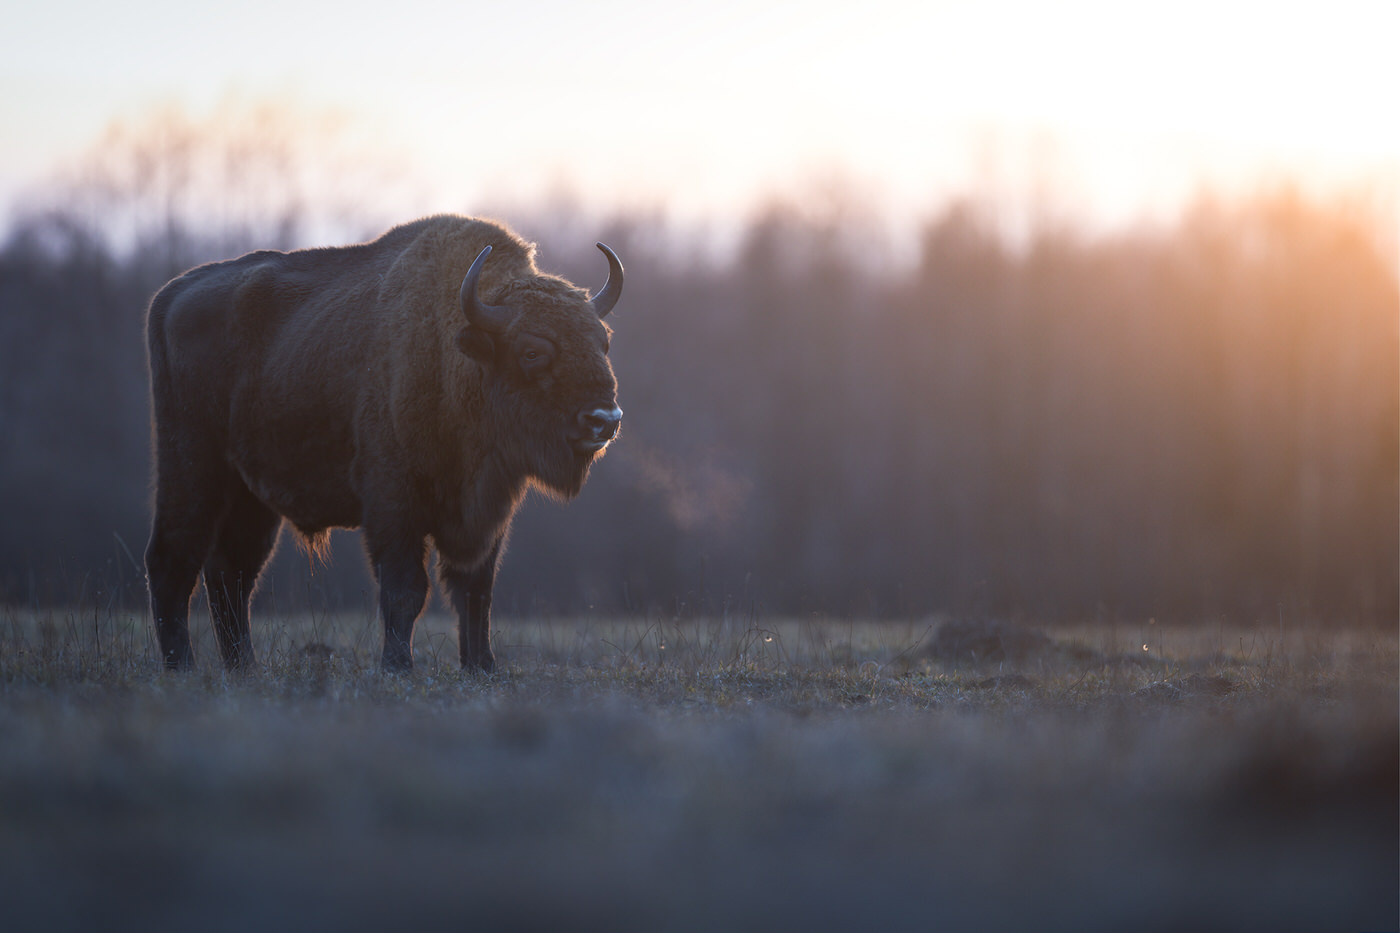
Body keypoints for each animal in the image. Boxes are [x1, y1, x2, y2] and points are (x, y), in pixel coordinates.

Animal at [143, 212, 624, 669]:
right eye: (532, 351)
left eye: (603, 342)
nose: (604, 419)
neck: (454, 357)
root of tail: (171, 294)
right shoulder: (393, 502)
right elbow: (405, 590)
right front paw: (397, 666)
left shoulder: (487, 514)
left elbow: (475, 592)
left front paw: (482, 667)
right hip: (192, 470)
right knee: (173, 559)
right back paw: (182, 666)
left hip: (250, 496)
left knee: (232, 572)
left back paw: (244, 668)